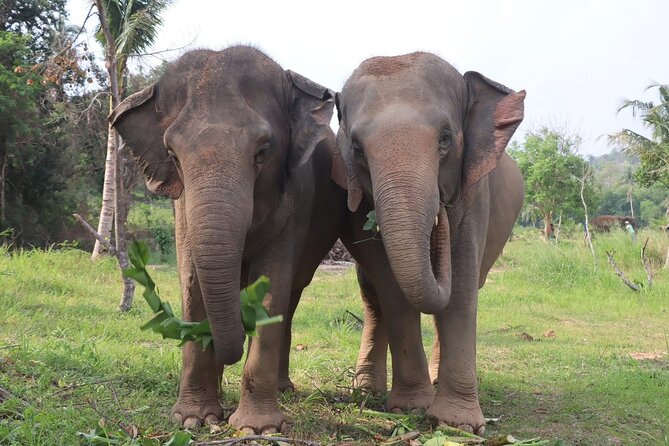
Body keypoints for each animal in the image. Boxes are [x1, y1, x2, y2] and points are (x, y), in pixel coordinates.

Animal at [110, 46, 347, 433]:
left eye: (263, 151)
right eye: (172, 155)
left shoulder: (297, 198)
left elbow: (272, 286)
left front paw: (256, 428)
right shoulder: (182, 207)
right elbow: (191, 282)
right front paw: (194, 419)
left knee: (292, 297)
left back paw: (283, 389)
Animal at [332, 52, 525, 434]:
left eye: (446, 139)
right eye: (357, 148)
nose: (440, 214)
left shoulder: (474, 192)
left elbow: (462, 284)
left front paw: (460, 425)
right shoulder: (355, 199)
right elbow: (391, 286)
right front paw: (409, 408)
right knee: (372, 294)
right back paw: (366, 390)